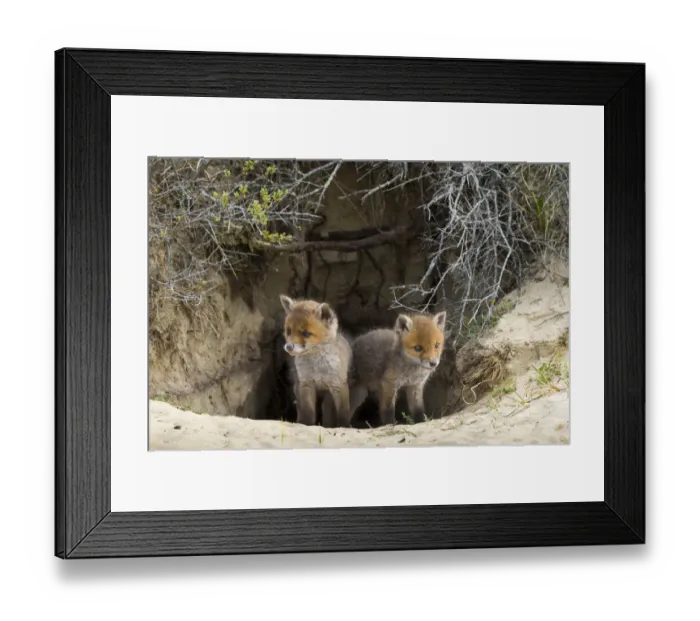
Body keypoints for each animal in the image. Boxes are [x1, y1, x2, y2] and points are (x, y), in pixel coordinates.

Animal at [279, 294, 353, 428]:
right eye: (289, 331)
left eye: (306, 333)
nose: (289, 347)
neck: (317, 367)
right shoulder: (306, 383)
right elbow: (308, 411)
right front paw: (306, 424)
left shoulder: (337, 385)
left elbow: (342, 411)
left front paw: (343, 426)